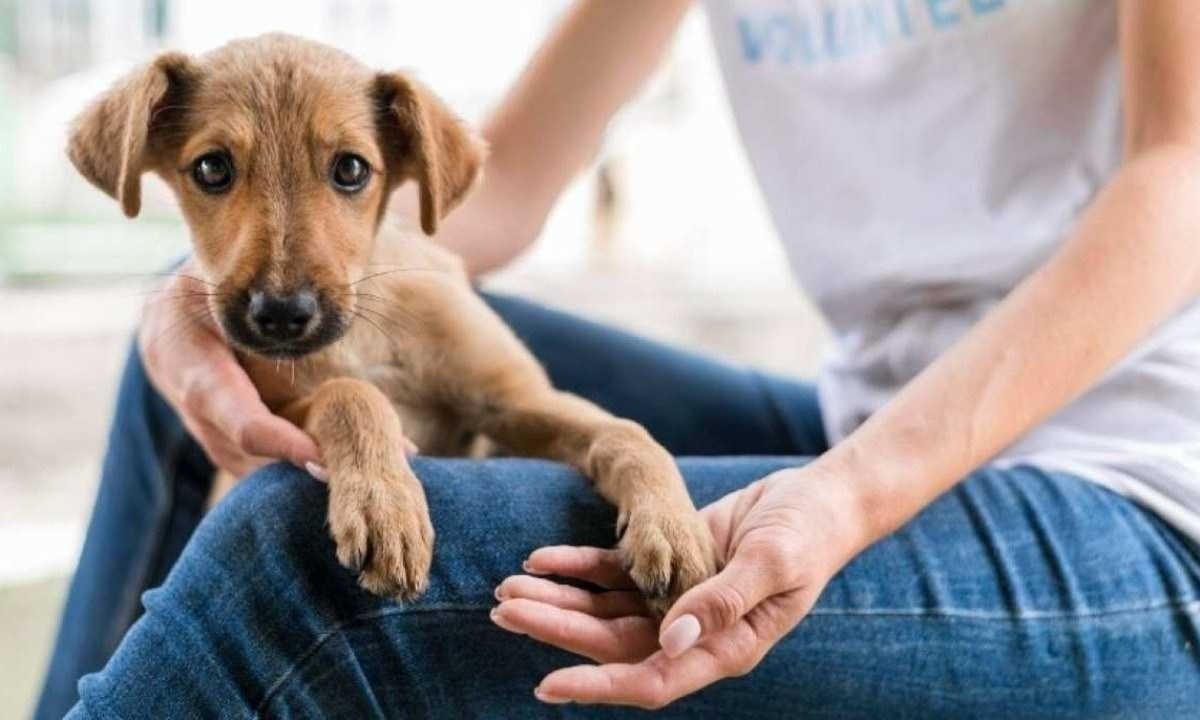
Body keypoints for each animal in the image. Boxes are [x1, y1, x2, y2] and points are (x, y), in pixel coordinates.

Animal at [70, 35, 715, 612]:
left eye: (351, 169)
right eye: (211, 168)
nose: (280, 315)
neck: (366, 332)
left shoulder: (516, 401)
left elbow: (627, 433)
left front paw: (674, 527)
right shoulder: (274, 413)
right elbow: (350, 394)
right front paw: (386, 507)